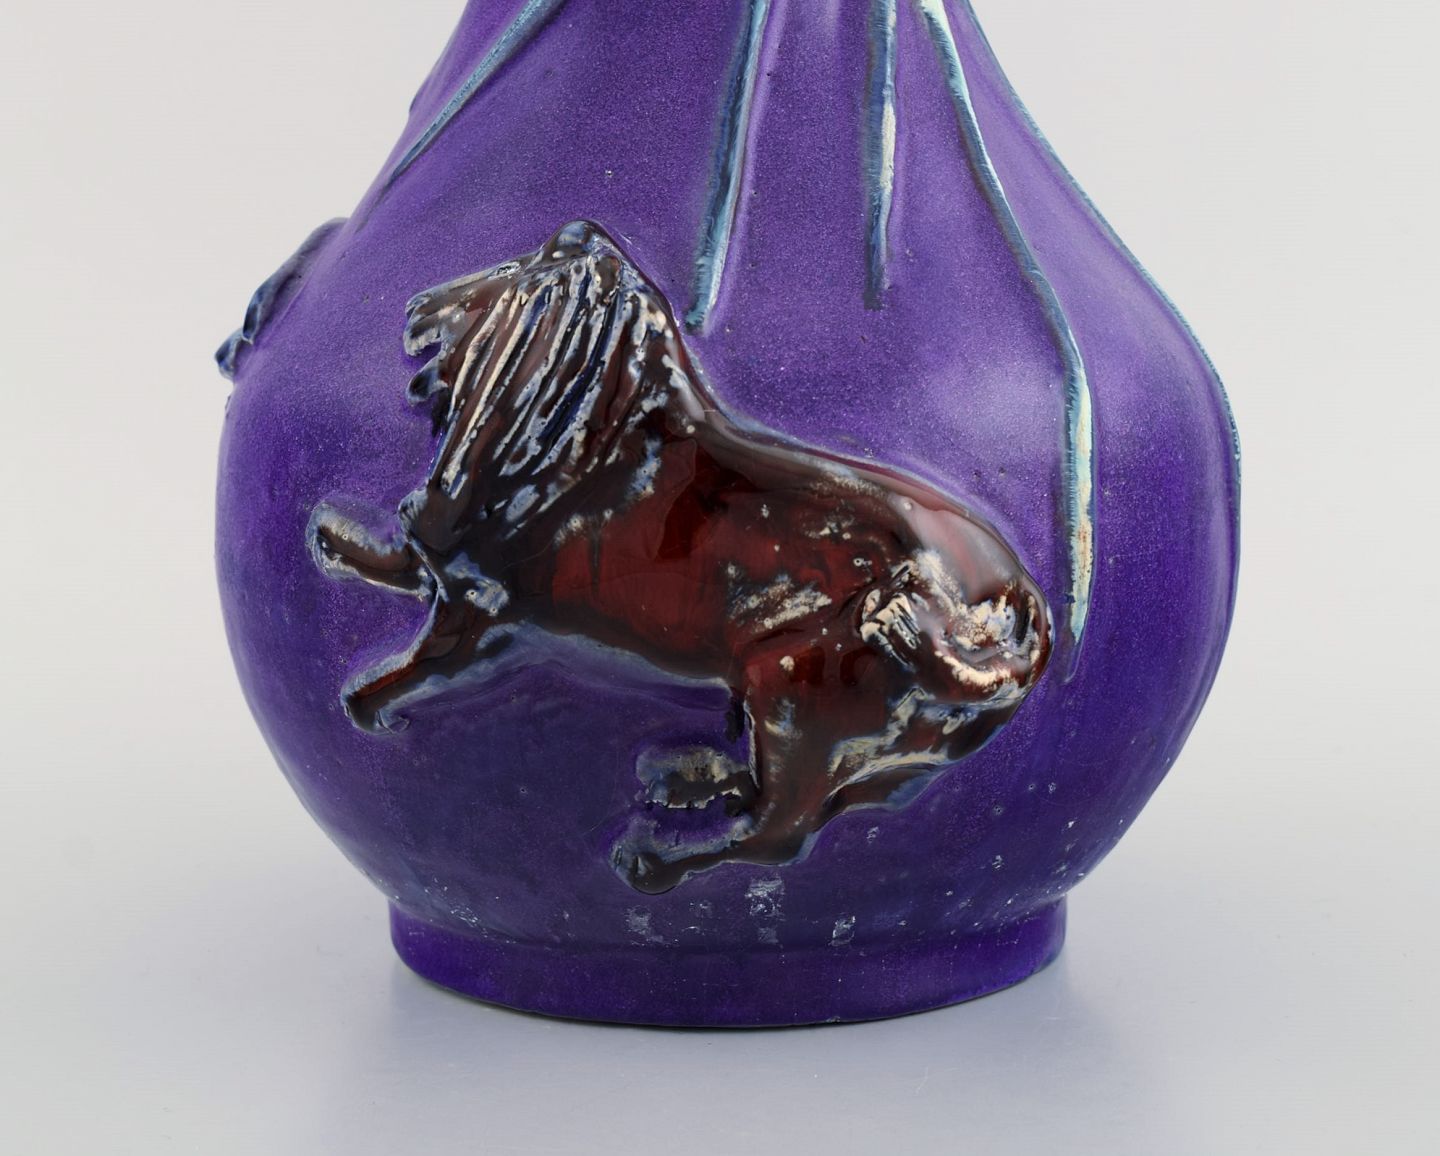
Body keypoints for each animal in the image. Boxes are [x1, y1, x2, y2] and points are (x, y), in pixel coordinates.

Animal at [310, 220, 1051, 893]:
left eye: (498, 278)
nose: (411, 308)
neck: (588, 436)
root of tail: (1010, 619)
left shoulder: (484, 613)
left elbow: (419, 658)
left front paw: (366, 702)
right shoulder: (457, 571)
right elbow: (401, 559)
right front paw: (331, 536)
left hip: (791, 695)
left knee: (781, 833)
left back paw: (657, 856)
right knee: (808, 797)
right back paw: (696, 776)